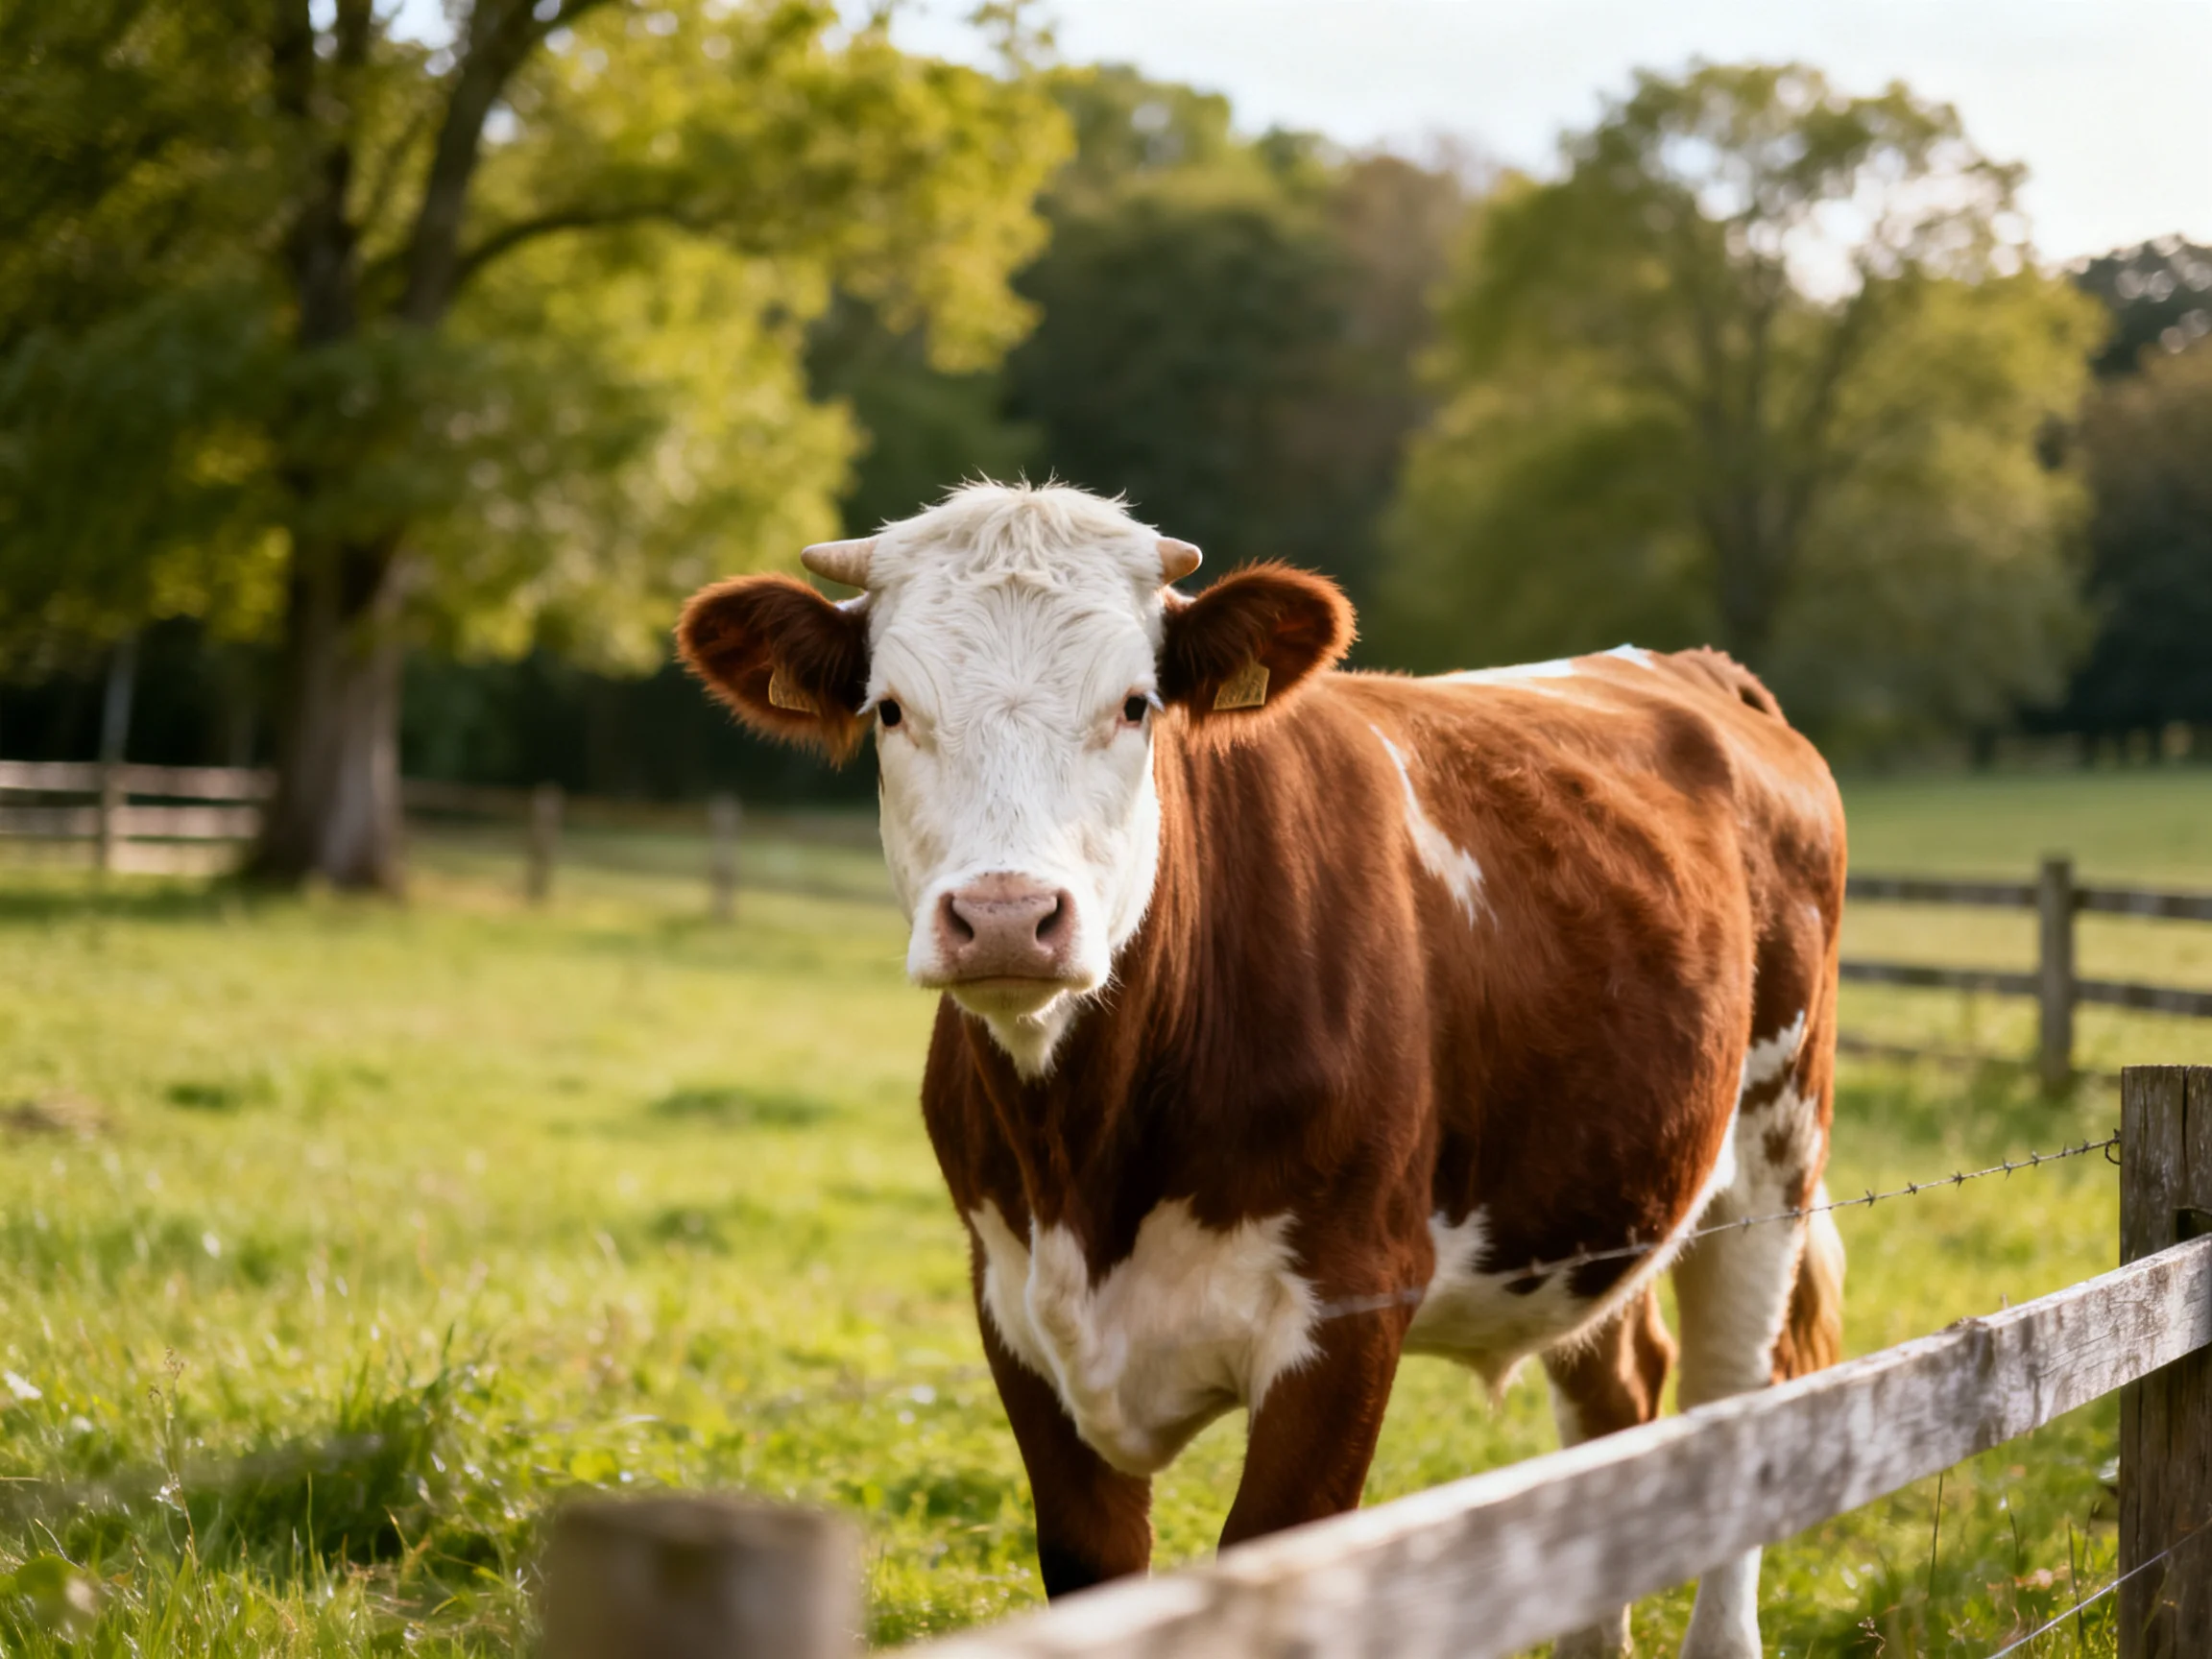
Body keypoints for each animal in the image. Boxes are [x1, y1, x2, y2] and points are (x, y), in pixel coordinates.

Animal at [679, 481, 1846, 1659]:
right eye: (889, 710)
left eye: (1137, 704)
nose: (1008, 915)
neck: (1087, 1166)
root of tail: (1689, 668)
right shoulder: (1011, 1303)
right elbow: (1093, 1574)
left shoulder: (1352, 1302)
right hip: (1586, 1197)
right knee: (1617, 1401)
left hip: (1774, 1148)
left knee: (1735, 1400)